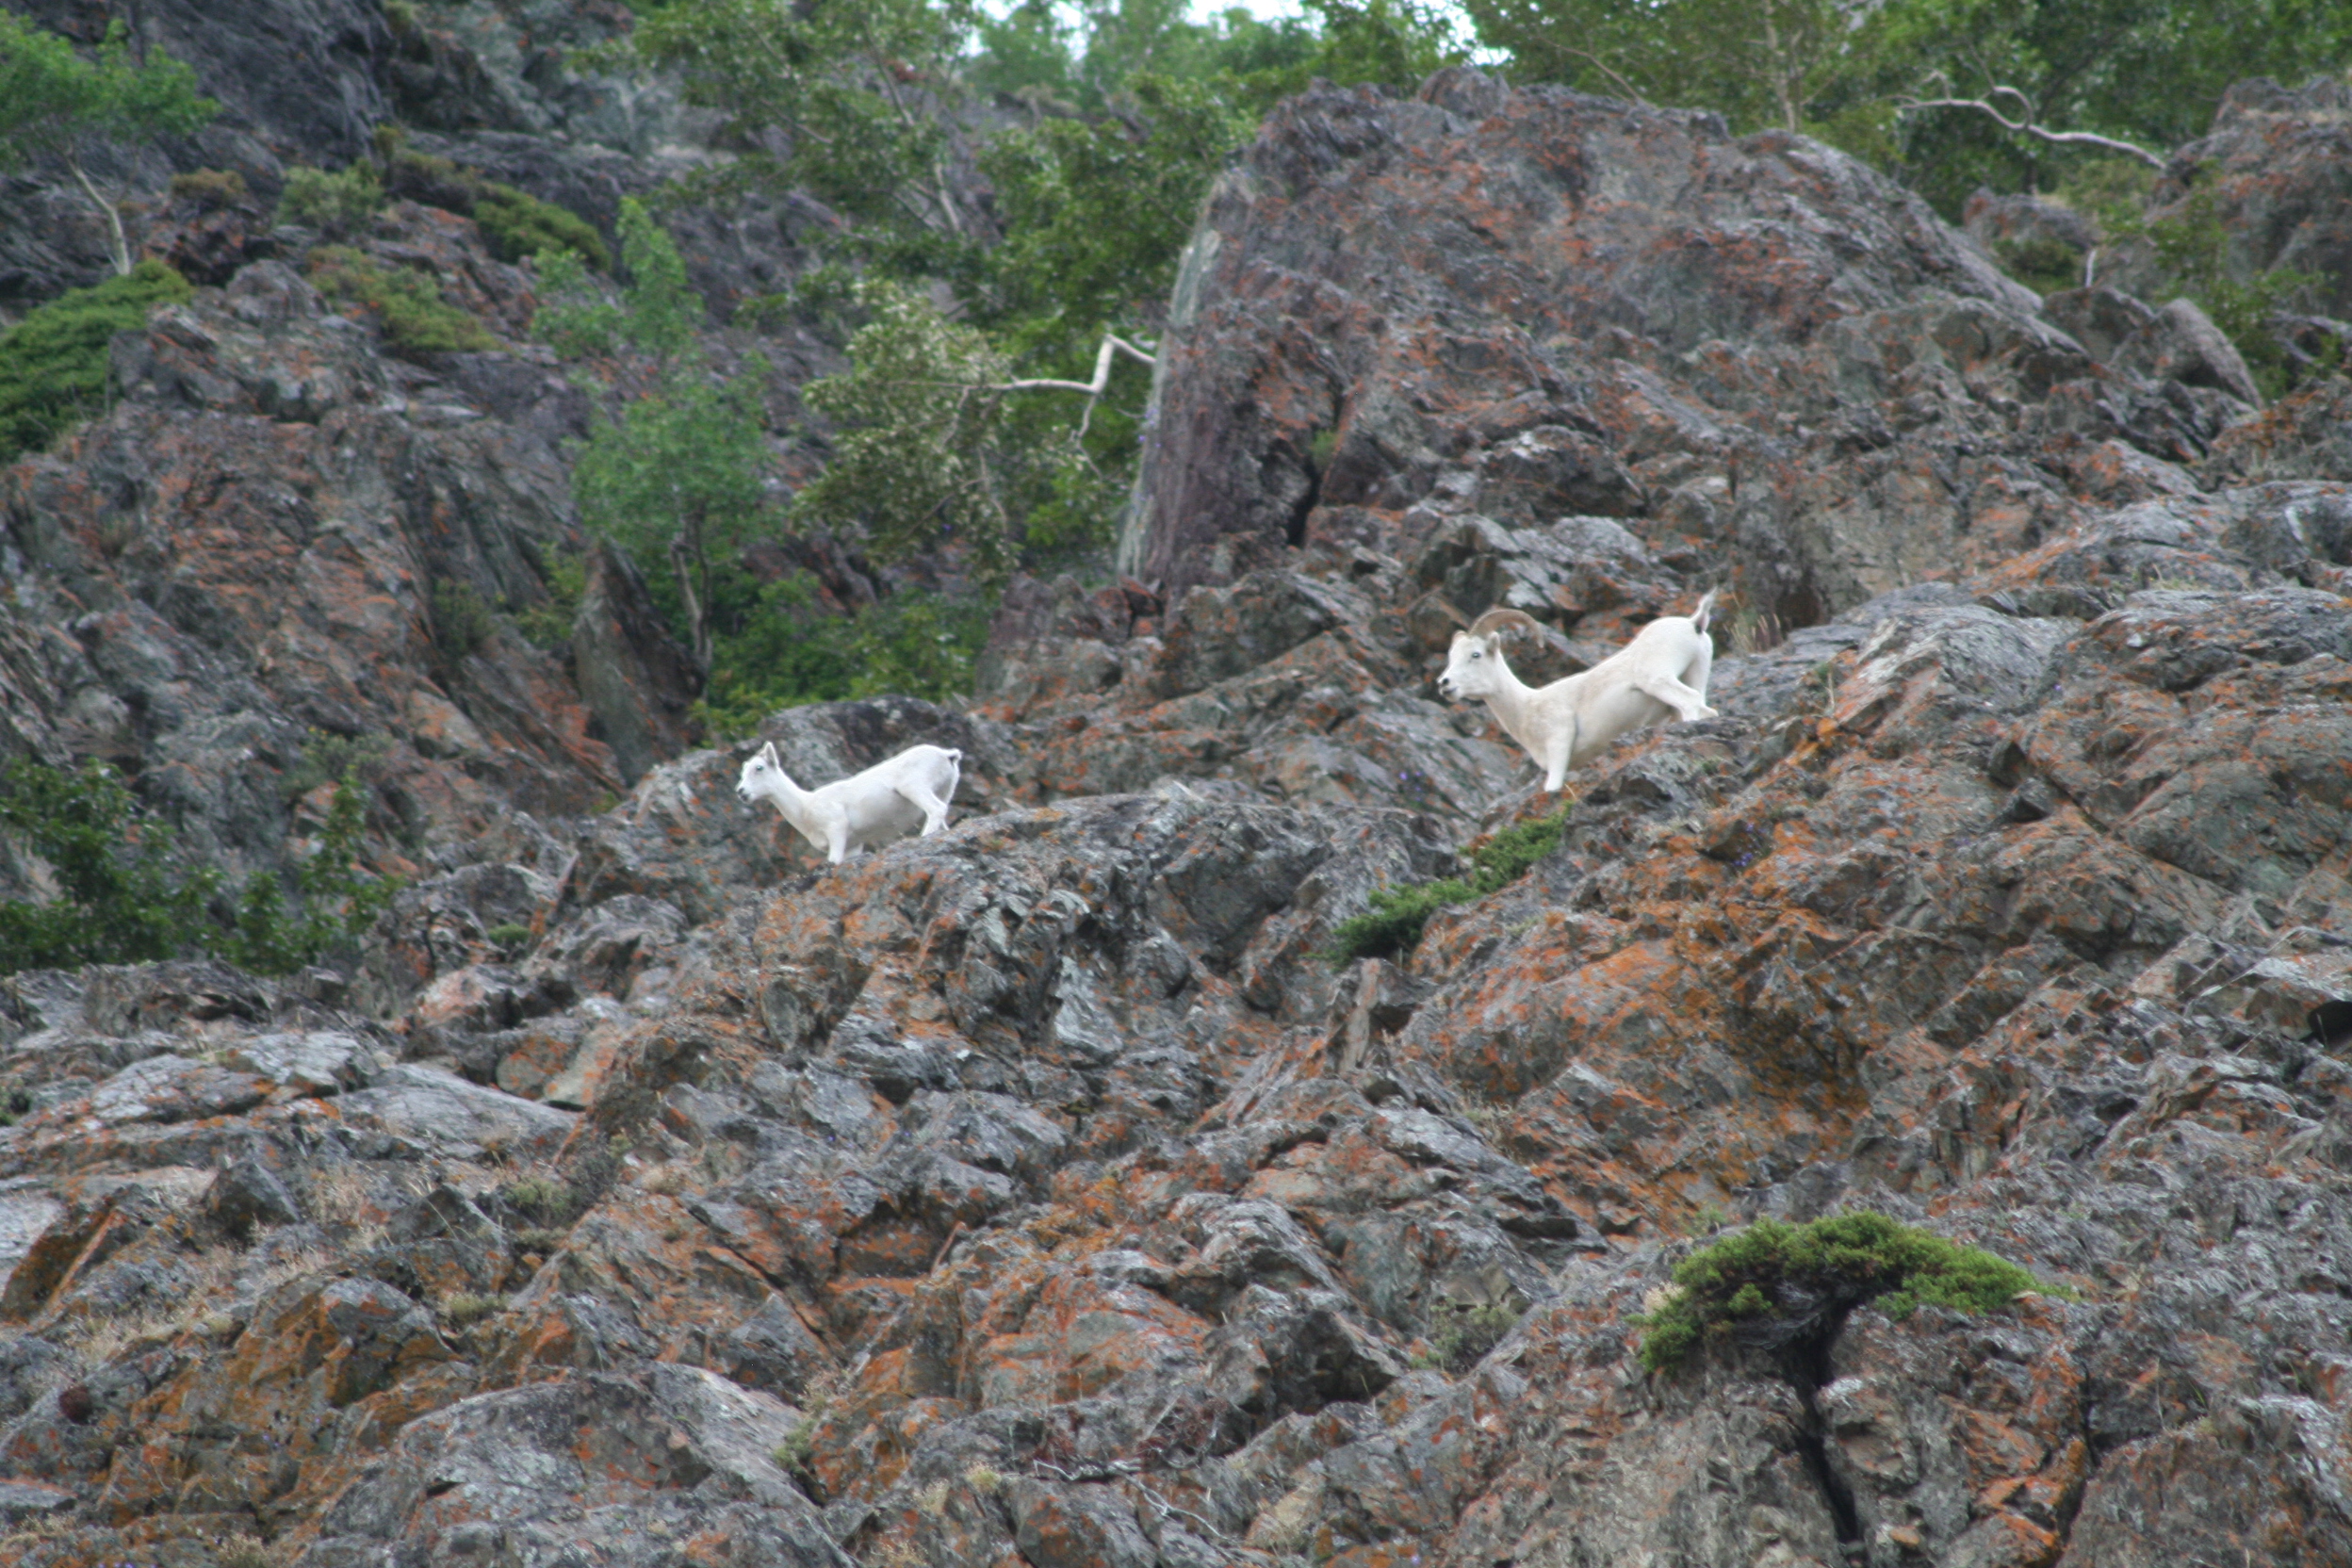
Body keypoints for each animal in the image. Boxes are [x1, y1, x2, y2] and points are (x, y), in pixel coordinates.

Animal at [735, 740, 963, 864]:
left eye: (758, 768)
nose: (741, 792)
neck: (805, 808)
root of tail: (947, 755)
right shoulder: (853, 845)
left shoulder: (836, 830)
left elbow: (833, 861)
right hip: (945, 790)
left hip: (915, 788)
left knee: (936, 810)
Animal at [1436, 594, 1717, 793]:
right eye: (1451, 656)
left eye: (1475, 655)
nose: (1444, 683)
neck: (1527, 709)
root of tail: (1693, 623)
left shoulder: (1559, 748)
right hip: (1695, 675)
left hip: (1659, 680)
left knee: (1690, 702)